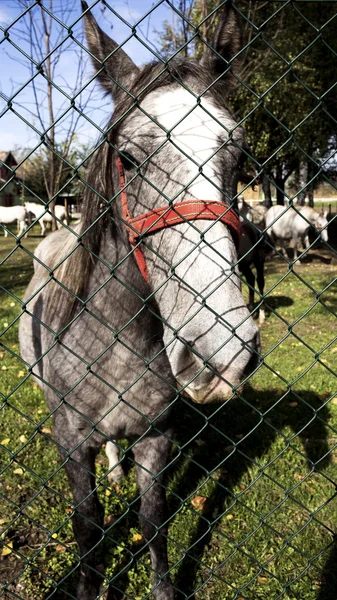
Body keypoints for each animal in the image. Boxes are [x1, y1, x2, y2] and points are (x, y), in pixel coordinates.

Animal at [19, 5, 260, 600]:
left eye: (239, 154)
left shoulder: (158, 439)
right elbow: (88, 526)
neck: (118, 342)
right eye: (127, 158)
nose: (219, 353)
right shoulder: (71, 442)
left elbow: (154, 520)